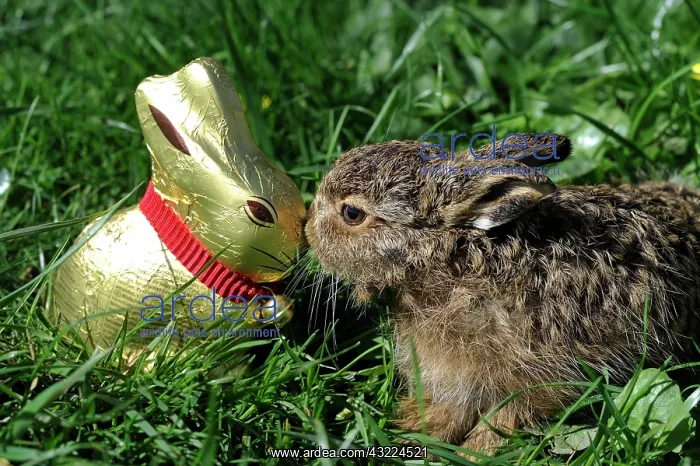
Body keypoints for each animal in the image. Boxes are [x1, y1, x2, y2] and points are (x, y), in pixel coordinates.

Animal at [304, 133, 700, 453]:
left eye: (351, 213)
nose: (307, 231)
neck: (457, 262)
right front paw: (418, 433)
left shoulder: (544, 373)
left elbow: (507, 415)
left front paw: (472, 451)